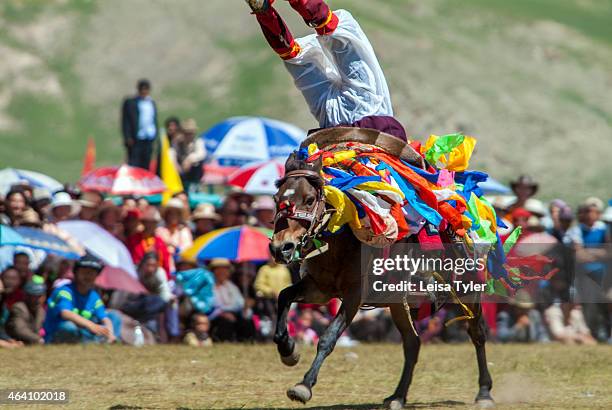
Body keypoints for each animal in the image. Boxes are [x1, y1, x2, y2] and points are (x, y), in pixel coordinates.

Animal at [270, 126, 494, 408]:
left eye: (309, 200)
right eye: (276, 198)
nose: (281, 248)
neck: (341, 239)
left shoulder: (353, 296)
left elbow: (328, 337)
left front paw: (303, 386)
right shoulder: (318, 288)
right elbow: (283, 296)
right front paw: (288, 350)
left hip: (468, 291)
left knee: (477, 334)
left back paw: (484, 392)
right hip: (399, 303)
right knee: (412, 344)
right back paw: (397, 396)